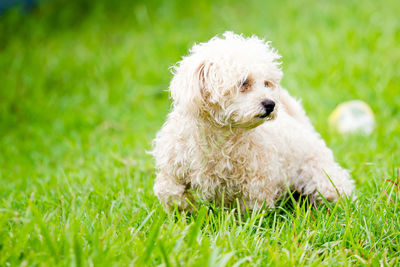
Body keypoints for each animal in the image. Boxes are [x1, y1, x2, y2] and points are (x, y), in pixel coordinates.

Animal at [151, 31, 354, 211]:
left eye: (267, 83)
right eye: (244, 83)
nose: (271, 104)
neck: (217, 134)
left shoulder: (256, 182)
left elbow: (252, 210)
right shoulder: (172, 165)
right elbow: (169, 191)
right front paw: (183, 211)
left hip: (323, 179)